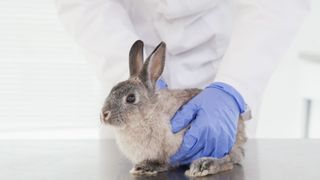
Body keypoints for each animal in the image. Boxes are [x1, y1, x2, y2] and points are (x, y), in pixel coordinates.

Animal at [100, 40, 248, 176]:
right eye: (112, 90)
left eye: (130, 98)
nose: (104, 115)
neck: (148, 114)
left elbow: (164, 162)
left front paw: (145, 167)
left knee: (228, 160)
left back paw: (203, 165)